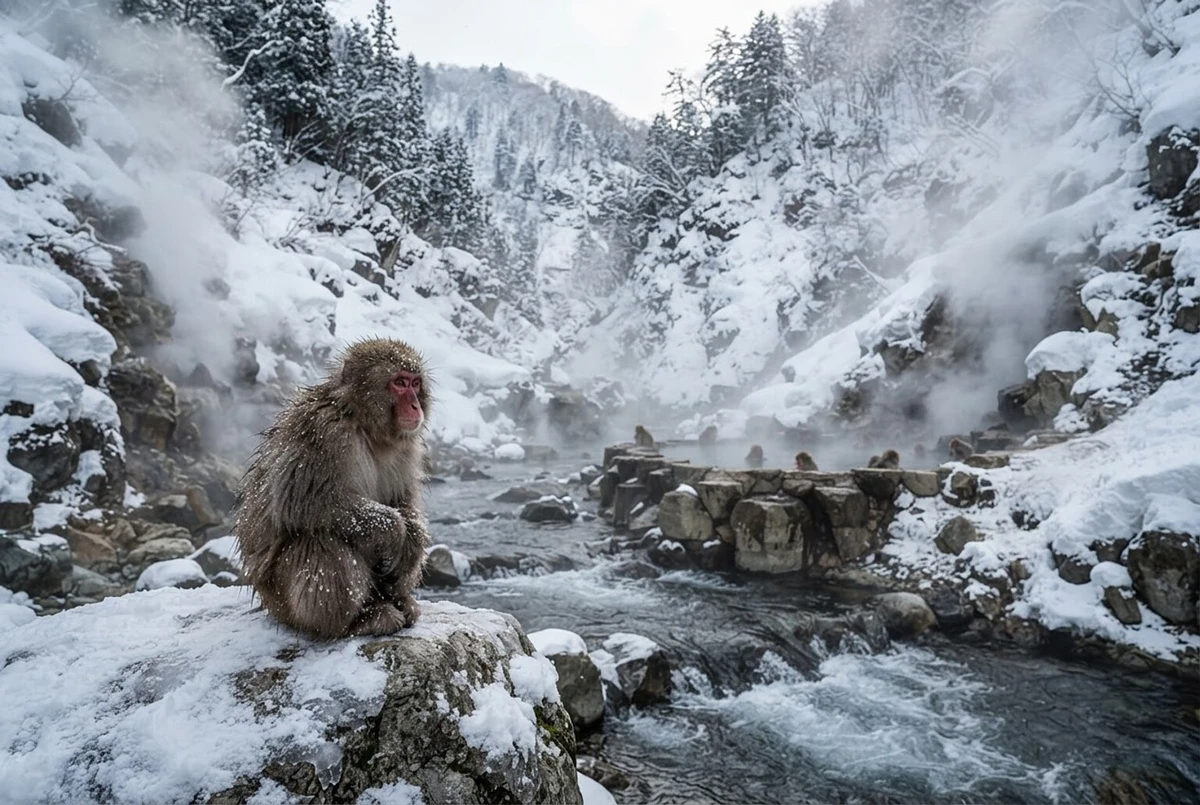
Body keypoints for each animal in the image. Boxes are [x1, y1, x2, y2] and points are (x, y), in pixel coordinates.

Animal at [234, 338, 432, 639]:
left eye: (415, 383)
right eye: (399, 383)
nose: (414, 405)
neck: (362, 422)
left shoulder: (408, 448)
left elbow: (403, 500)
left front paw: (413, 537)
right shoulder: (322, 432)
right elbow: (302, 502)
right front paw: (394, 528)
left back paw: (398, 599)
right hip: (283, 603)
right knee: (322, 537)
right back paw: (354, 622)